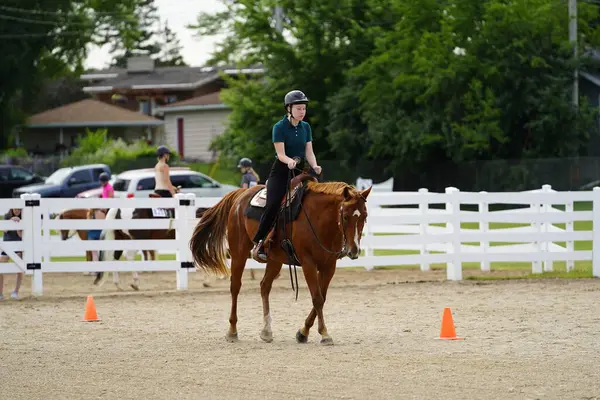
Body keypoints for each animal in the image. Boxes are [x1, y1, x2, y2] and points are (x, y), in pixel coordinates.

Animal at [191, 177, 370, 346]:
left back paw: (266, 331)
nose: (354, 251)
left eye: (365, 216)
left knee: (264, 286)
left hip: (275, 259)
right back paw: (232, 331)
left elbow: (322, 298)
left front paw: (303, 332)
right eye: (345, 216)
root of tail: (241, 194)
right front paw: (324, 334)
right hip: (238, 252)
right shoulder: (308, 263)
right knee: (235, 287)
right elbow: (317, 298)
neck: (318, 220)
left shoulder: (329, 266)